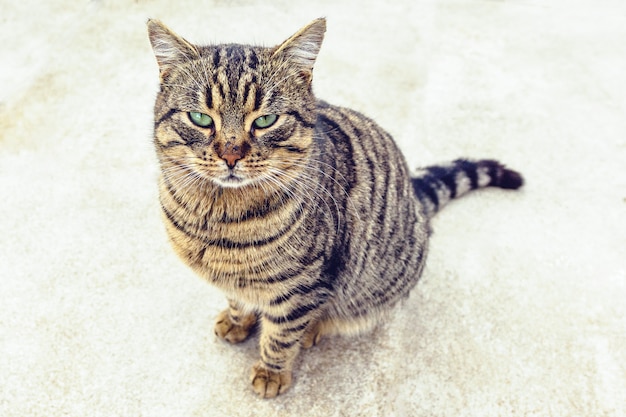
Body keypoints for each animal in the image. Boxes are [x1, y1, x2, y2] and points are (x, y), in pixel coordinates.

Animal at [146, 17, 520, 398]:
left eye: (265, 120)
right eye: (200, 118)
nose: (231, 155)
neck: (216, 216)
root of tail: (416, 196)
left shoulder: (302, 287)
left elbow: (281, 336)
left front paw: (271, 373)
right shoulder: (234, 281)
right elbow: (237, 300)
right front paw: (237, 321)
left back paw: (314, 329)